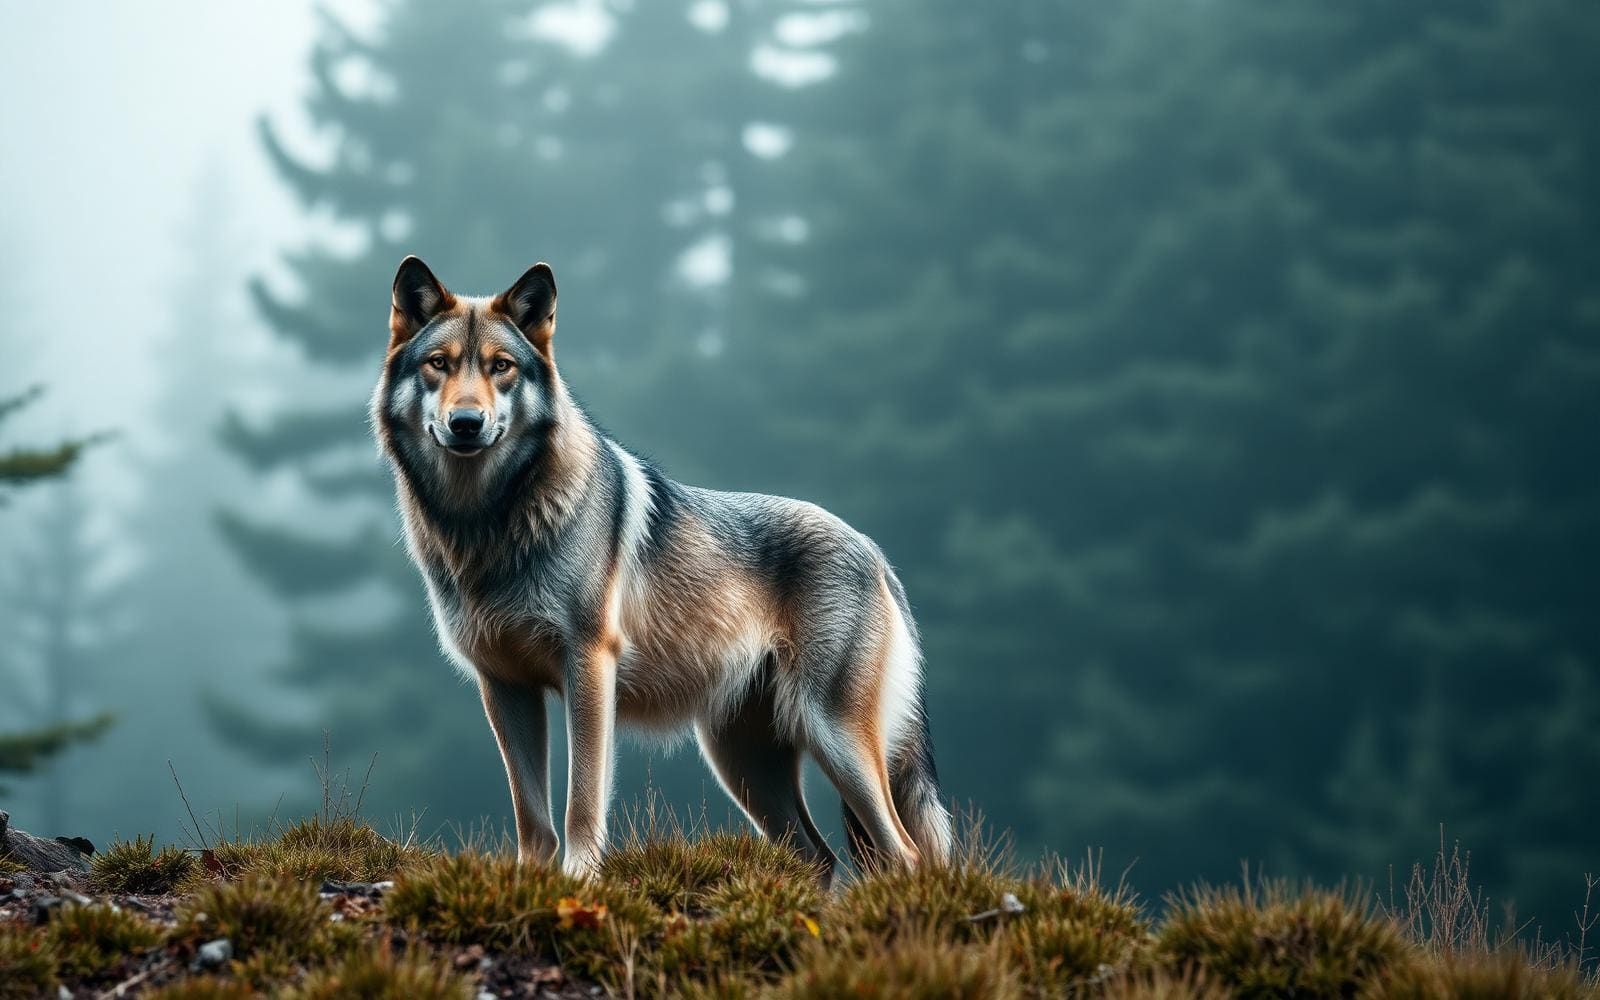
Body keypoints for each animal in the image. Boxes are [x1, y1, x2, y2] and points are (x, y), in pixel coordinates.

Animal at [371, 256, 952, 878]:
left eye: (500, 367)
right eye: (439, 364)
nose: (466, 422)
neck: (487, 521)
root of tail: (874, 550)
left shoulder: (590, 666)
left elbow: (581, 799)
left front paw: (581, 879)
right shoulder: (504, 685)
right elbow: (531, 816)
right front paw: (531, 882)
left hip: (833, 741)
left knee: (906, 852)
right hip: (743, 765)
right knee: (818, 857)